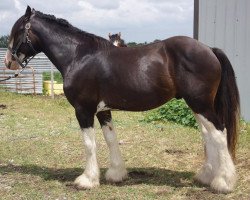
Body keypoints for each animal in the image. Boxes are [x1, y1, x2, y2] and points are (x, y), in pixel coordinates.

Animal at [3, 6, 240, 194]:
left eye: (17, 30)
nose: (8, 62)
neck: (79, 56)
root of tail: (209, 49)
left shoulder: (83, 110)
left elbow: (89, 144)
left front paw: (87, 180)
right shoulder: (102, 110)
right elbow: (110, 138)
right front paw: (116, 174)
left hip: (200, 104)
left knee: (219, 134)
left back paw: (223, 183)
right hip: (198, 105)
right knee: (208, 135)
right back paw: (206, 176)